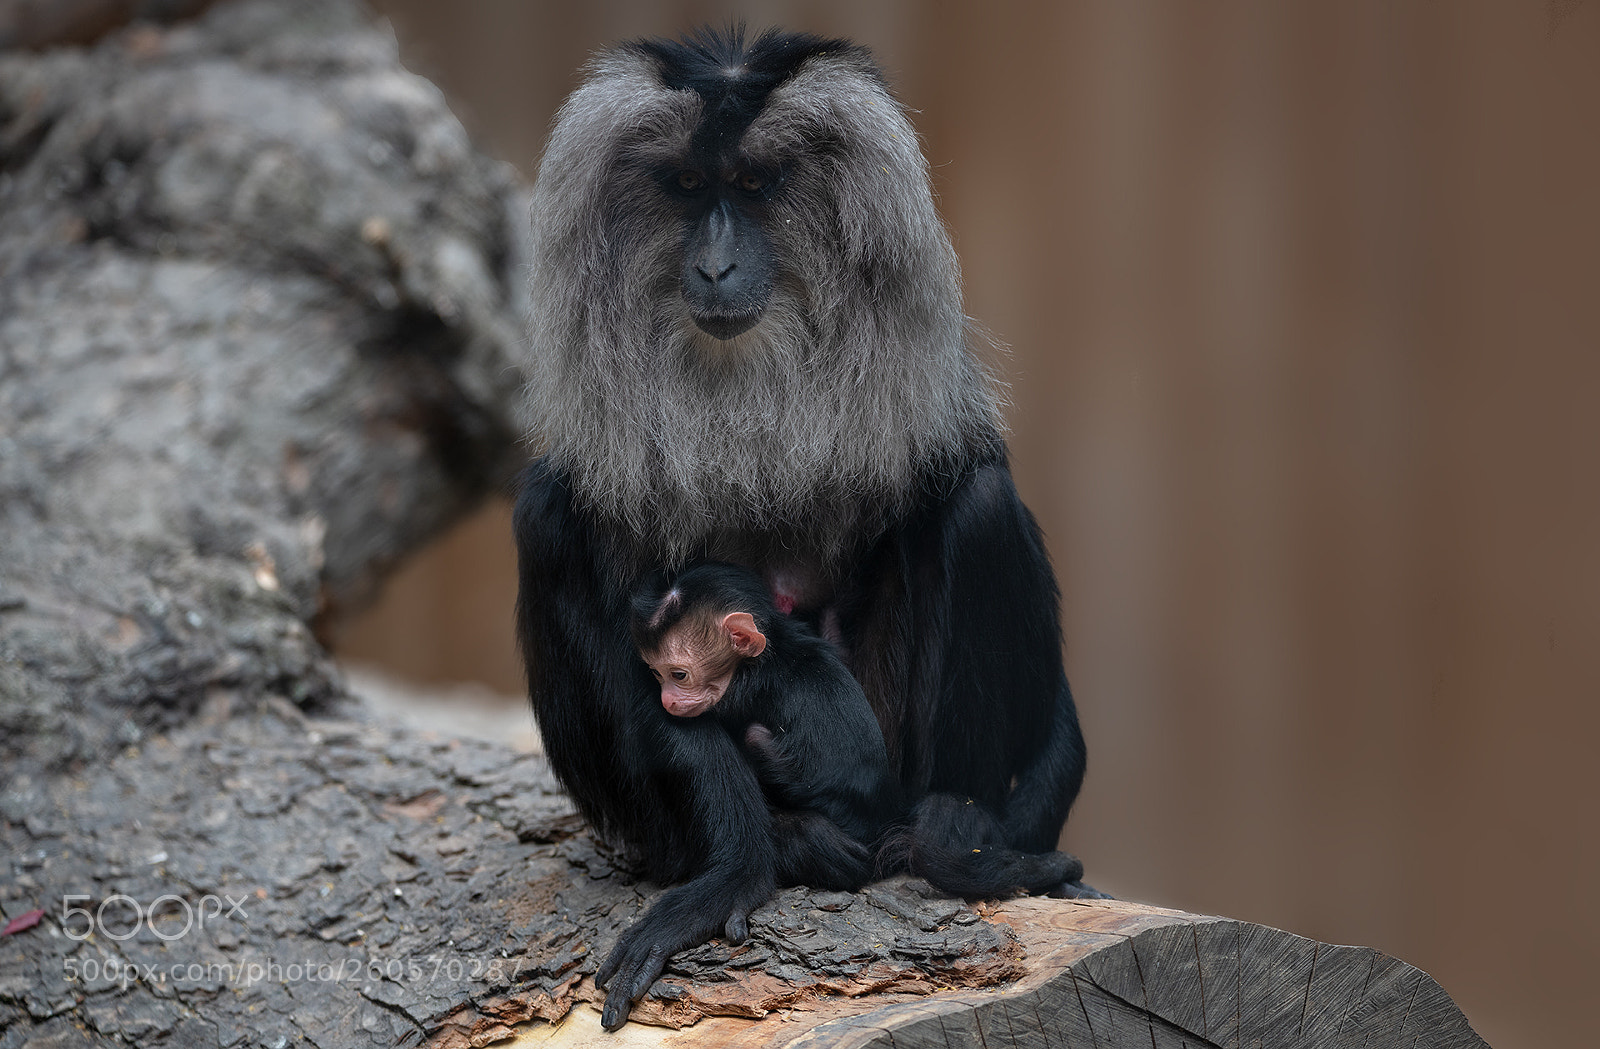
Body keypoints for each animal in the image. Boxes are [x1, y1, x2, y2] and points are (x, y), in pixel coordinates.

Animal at [514, 25, 1100, 1030]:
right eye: (686, 186)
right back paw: (784, 845)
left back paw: (953, 828)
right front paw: (735, 870)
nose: (714, 264)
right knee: (548, 525)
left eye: (753, 186)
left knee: (980, 506)